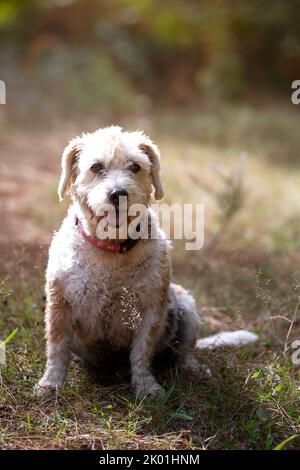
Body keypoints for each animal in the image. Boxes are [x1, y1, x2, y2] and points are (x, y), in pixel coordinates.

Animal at [37, 126, 258, 398]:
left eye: (135, 166)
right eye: (96, 167)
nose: (118, 194)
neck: (111, 250)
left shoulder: (151, 309)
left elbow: (142, 352)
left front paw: (146, 386)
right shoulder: (60, 305)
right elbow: (57, 348)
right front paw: (50, 383)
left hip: (187, 308)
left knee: (184, 353)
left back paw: (194, 368)